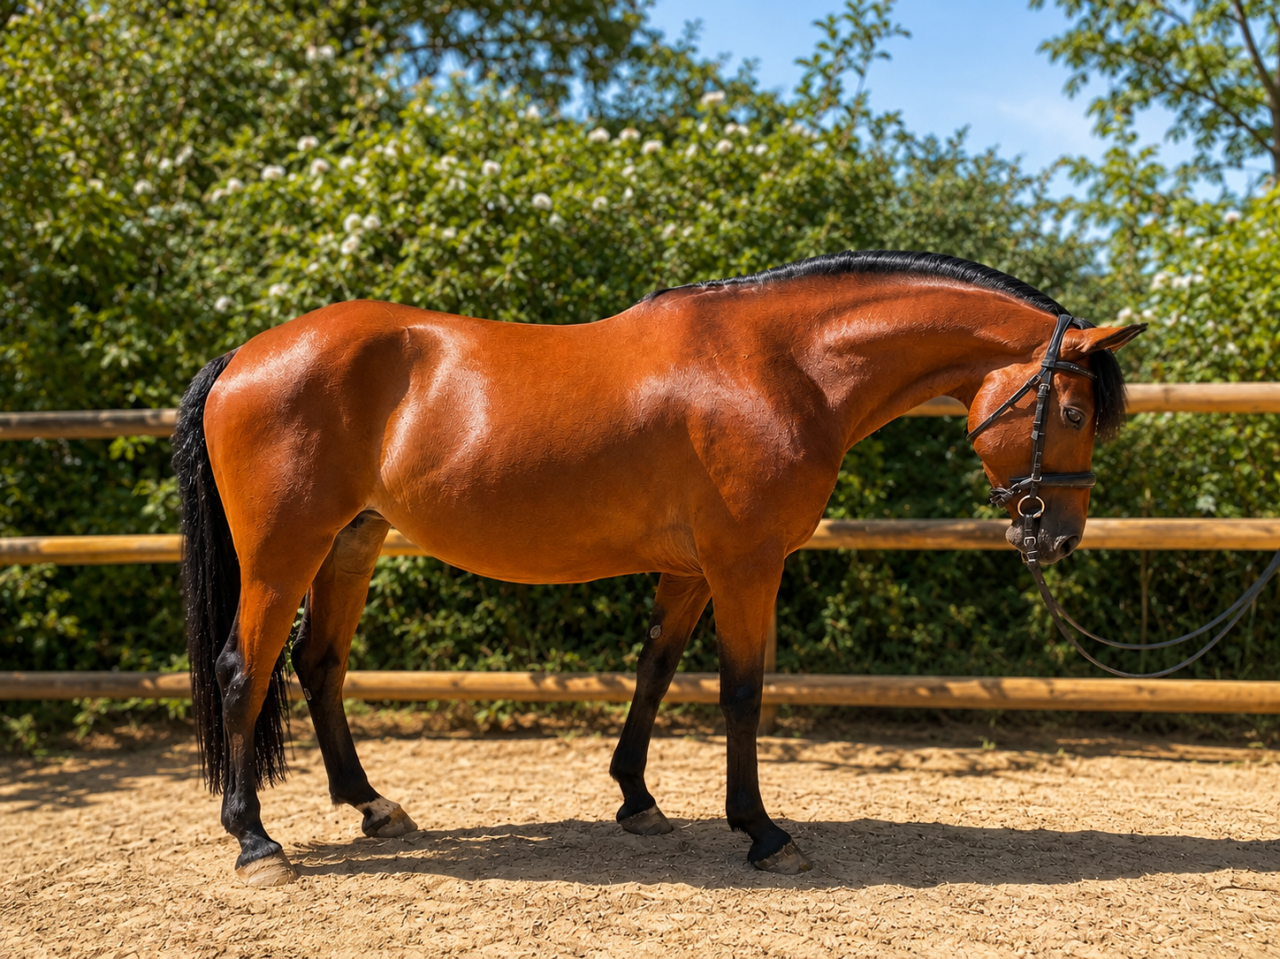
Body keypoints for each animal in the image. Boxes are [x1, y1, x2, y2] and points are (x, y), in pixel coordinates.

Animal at [172, 250, 1143, 885]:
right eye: (1071, 410)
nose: (1057, 537)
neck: (782, 364)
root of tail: (243, 356)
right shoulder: (746, 563)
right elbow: (741, 692)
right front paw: (762, 832)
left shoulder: (692, 570)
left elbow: (655, 670)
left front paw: (636, 799)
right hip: (283, 554)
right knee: (243, 670)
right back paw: (255, 841)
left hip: (352, 542)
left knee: (318, 664)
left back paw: (372, 806)